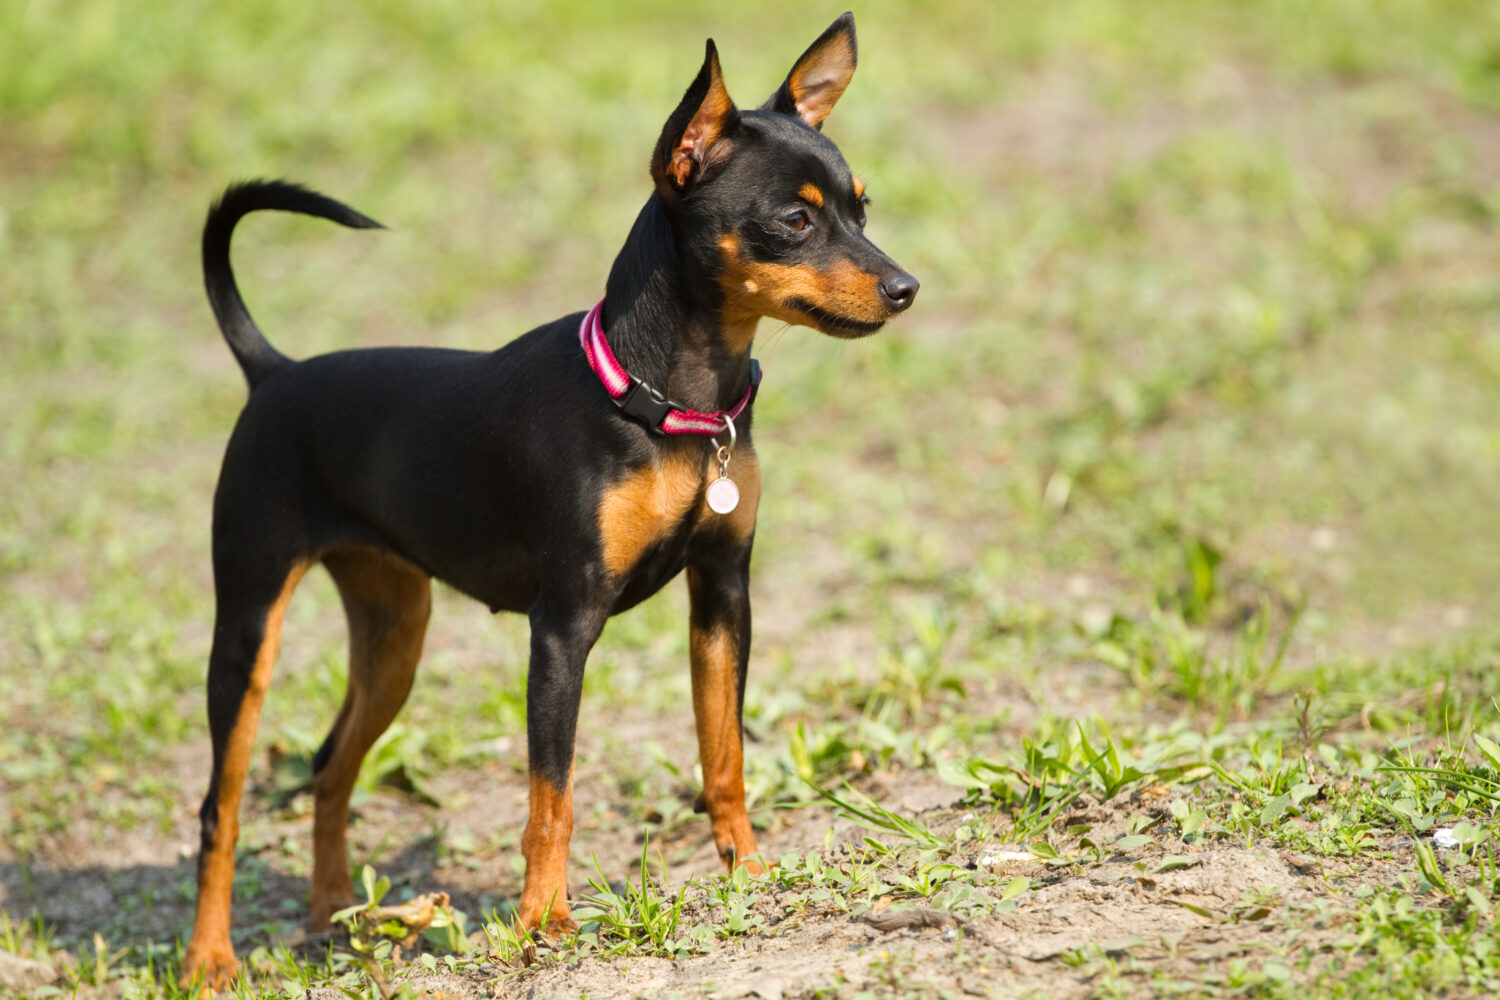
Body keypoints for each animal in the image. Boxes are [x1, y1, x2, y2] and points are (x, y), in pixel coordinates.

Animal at [184, 11, 912, 989]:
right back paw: (209, 959)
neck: (669, 402)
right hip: (249, 628)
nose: (905, 287)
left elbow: (723, 754)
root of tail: (275, 373)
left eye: (861, 209)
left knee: (333, 766)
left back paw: (336, 911)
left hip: (395, 631)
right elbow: (550, 796)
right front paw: (542, 921)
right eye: (794, 220)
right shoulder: (563, 628)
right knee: (219, 808)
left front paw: (749, 871)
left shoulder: (724, 596)